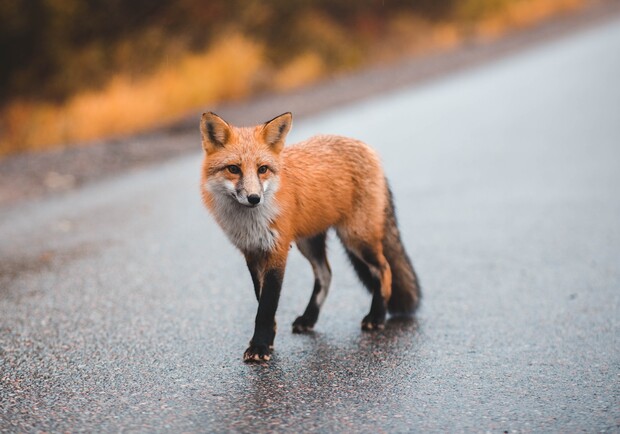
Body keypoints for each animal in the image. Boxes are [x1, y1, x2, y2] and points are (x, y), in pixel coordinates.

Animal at [199, 112, 422, 362]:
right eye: (234, 169)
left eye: (262, 169)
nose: (254, 198)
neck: (251, 222)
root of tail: (366, 147)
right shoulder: (252, 252)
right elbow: (261, 300)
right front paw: (268, 340)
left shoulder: (277, 250)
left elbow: (266, 305)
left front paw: (260, 346)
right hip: (309, 242)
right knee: (326, 274)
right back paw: (309, 318)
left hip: (356, 238)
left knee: (384, 269)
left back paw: (376, 316)